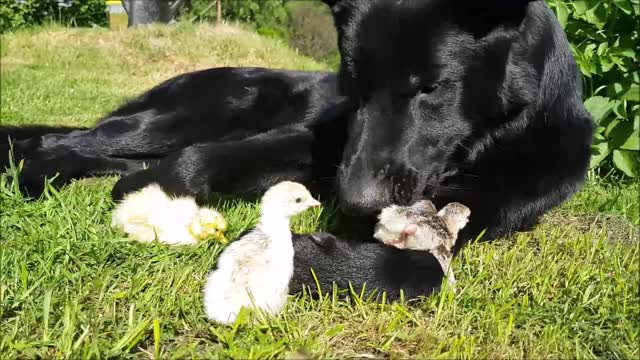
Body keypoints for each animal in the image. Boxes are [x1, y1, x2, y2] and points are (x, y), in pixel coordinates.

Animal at [0, 0, 592, 298]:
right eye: (354, 83)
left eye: (431, 87)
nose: (353, 203)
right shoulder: (316, 139)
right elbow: (203, 159)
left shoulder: (489, 207)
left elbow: (418, 268)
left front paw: (313, 258)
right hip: (184, 117)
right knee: (66, 139)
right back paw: (32, 172)